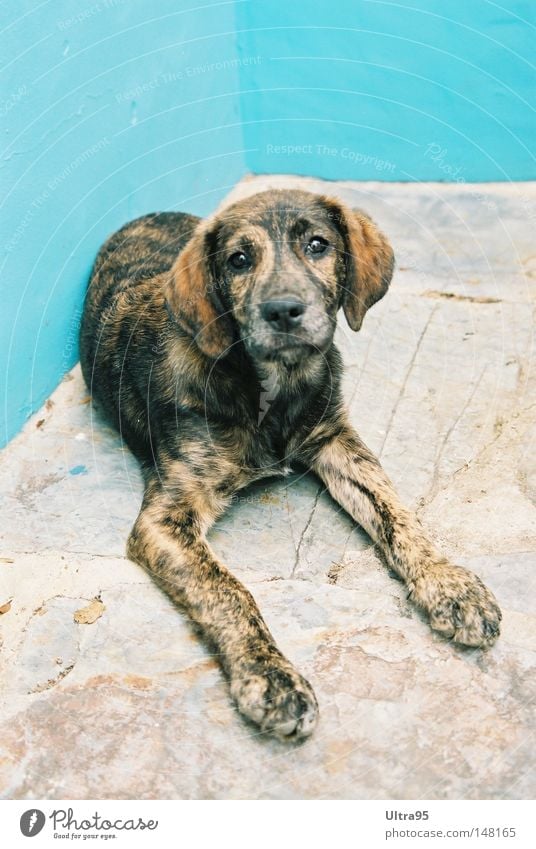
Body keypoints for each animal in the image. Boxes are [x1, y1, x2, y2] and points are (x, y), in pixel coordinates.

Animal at [80, 189, 502, 740]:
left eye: (317, 245)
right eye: (239, 260)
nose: (282, 311)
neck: (271, 387)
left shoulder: (336, 441)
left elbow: (396, 513)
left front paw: (449, 584)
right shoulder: (166, 517)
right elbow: (227, 590)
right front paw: (271, 677)